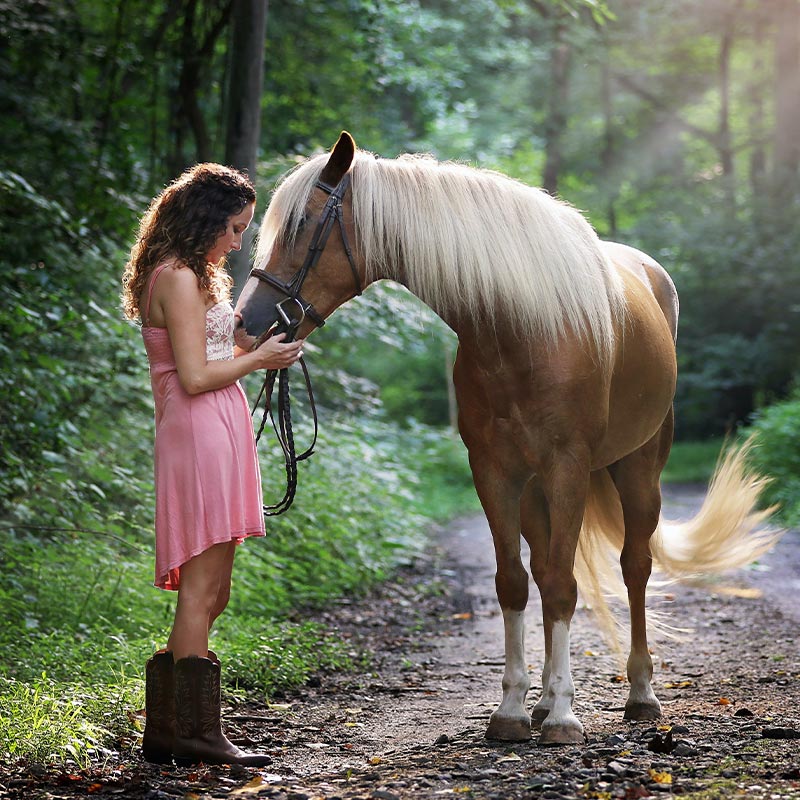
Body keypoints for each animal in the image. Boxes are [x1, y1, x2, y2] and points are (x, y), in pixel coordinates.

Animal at [234, 131, 780, 744]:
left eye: (303, 224)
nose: (246, 323)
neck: (521, 329)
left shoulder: (567, 466)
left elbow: (565, 585)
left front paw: (564, 717)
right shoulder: (494, 471)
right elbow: (515, 583)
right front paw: (516, 710)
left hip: (639, 470)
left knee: (634, 567)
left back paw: (640, 694)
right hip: (537, 489)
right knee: (544, 569)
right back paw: (543, 700)